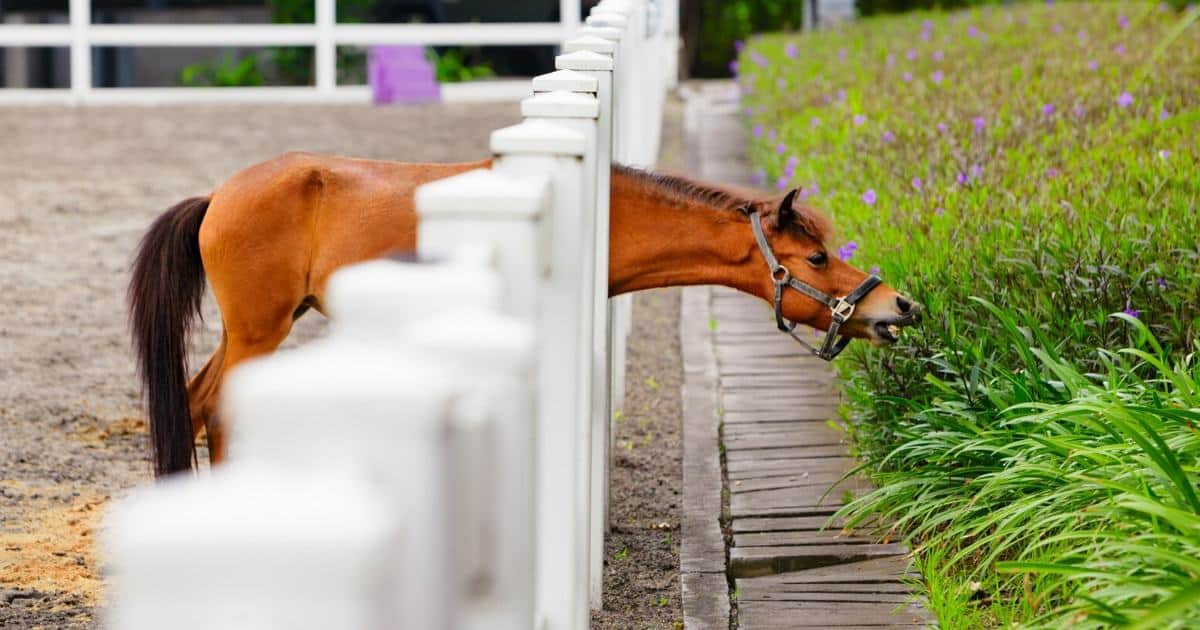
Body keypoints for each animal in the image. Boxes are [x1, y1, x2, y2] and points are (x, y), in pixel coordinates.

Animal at [128, 152, 921, 477]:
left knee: (193, 404)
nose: (898, 306)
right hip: (259, 331)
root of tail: (218, 195)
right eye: (815, 257)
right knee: (220, 410)